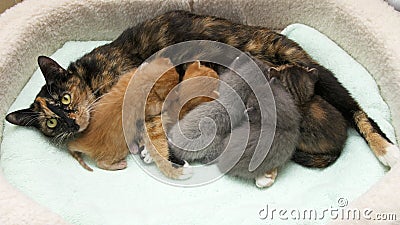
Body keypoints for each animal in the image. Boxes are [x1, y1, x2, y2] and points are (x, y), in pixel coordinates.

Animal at [6, 10, 400, 169]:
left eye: (65, 98)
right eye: (50, 123)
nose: (69, 121)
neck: (92, 81)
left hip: (313, 69)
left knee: (357, 110)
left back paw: (387, 152)